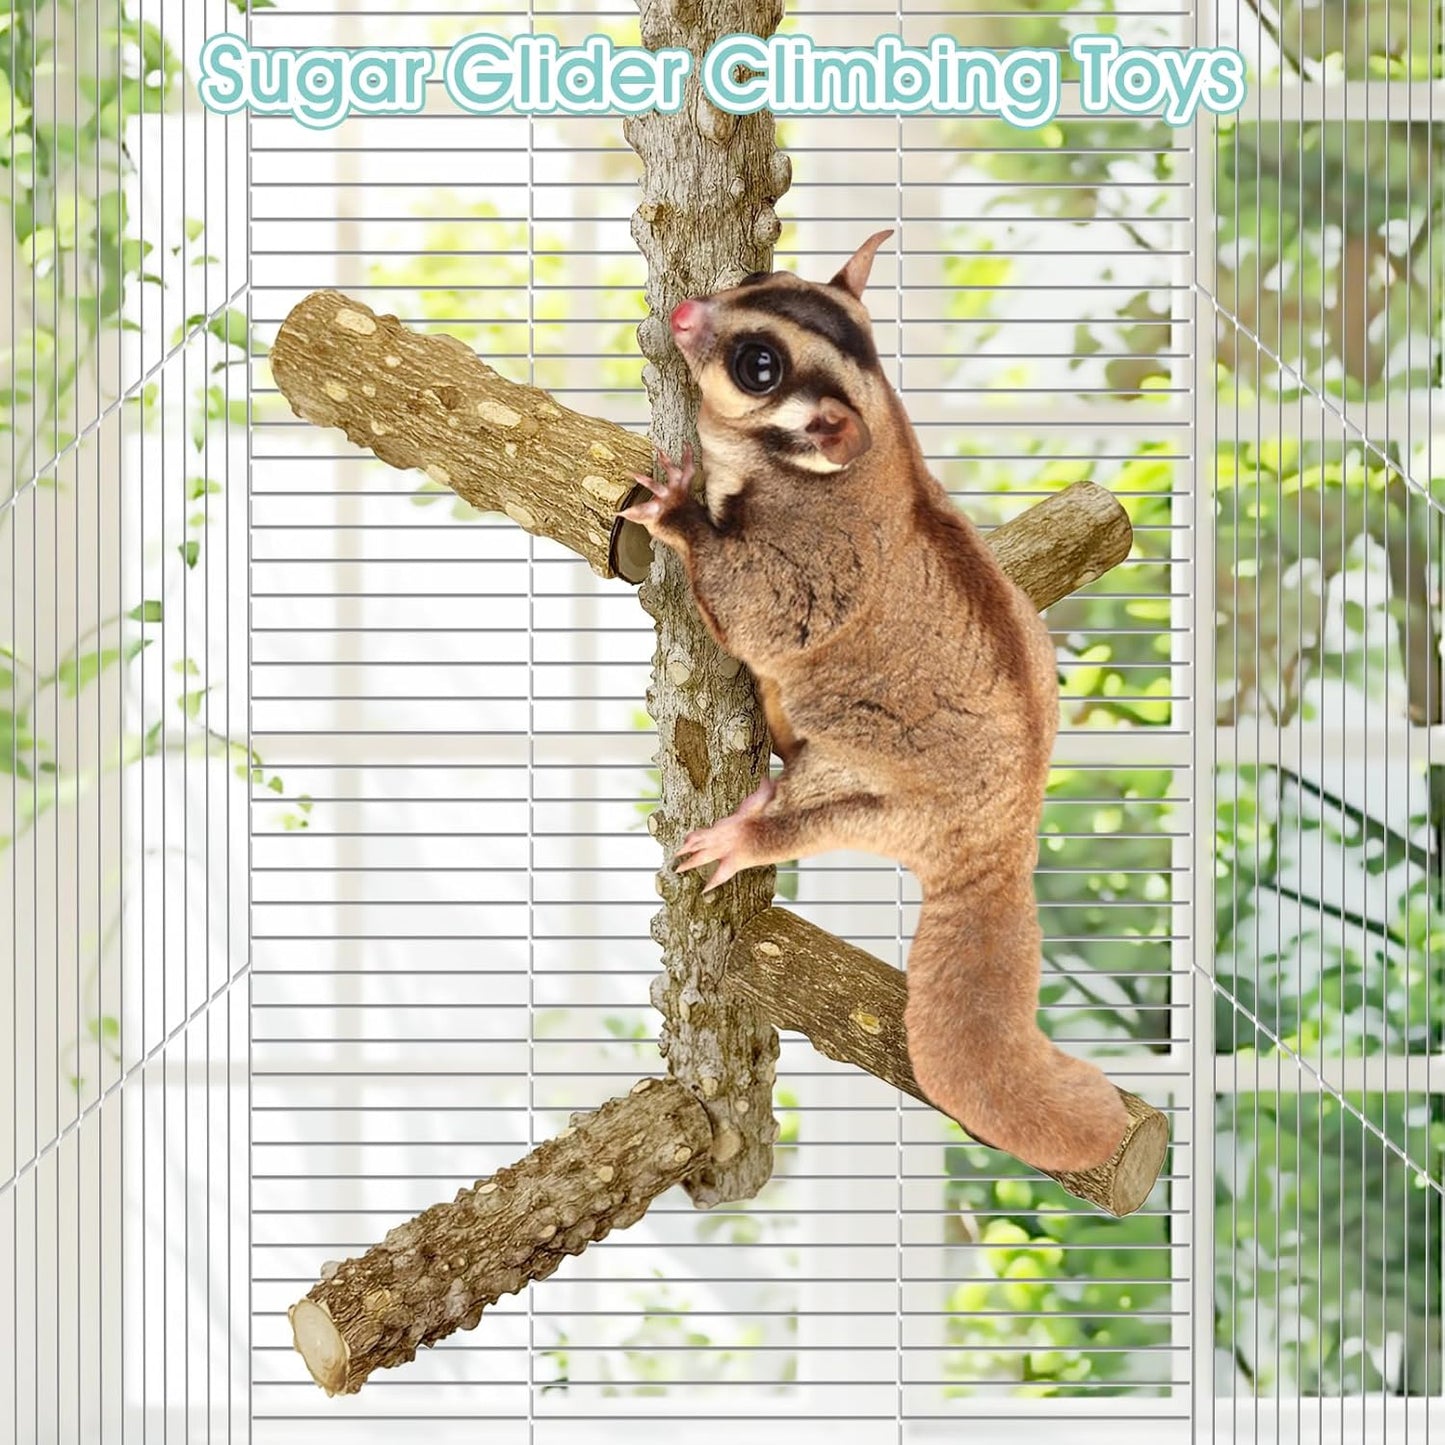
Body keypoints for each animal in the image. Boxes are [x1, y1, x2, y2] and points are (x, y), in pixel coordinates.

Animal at [622, 231, 1129, 1174]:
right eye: (760, 278)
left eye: (757, 366)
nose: (682, 312)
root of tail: (1004, 842)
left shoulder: (811, 554)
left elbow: (762, 609)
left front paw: (677, 510)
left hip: (881, 797)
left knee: (810, 807)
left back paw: (748, 830)